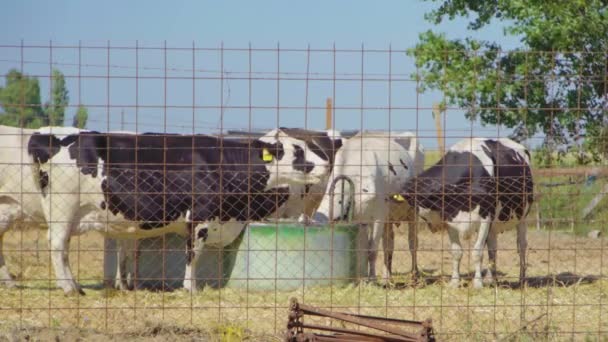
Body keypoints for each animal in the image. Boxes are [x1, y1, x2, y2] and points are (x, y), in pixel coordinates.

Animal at [28, 128, 338, 294]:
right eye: (298, 152)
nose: (327, 165)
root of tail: (50, 138)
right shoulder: (199, 217)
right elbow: (193, 254)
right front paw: (191, 288)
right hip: (63, 209)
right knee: (58, 246)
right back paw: (70, 288)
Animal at [312, 132, 426, 284]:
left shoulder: (378, 217)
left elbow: (371, 251)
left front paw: (371, 279)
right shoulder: (362, 220)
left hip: (413, 212)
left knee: (413, 242)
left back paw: (415, 275)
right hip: (389, 218)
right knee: (389, 244)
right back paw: (387, 276)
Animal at [390, 138, 532, 288]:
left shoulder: (485, 217)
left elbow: (477, 252)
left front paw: (478, 283)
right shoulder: (451, 219)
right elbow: (456, 252)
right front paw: (454, 282)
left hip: (522, 217)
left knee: (521, 245)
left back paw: (522, 279)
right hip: (494, 225)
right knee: (492, 248)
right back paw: (491, 279)